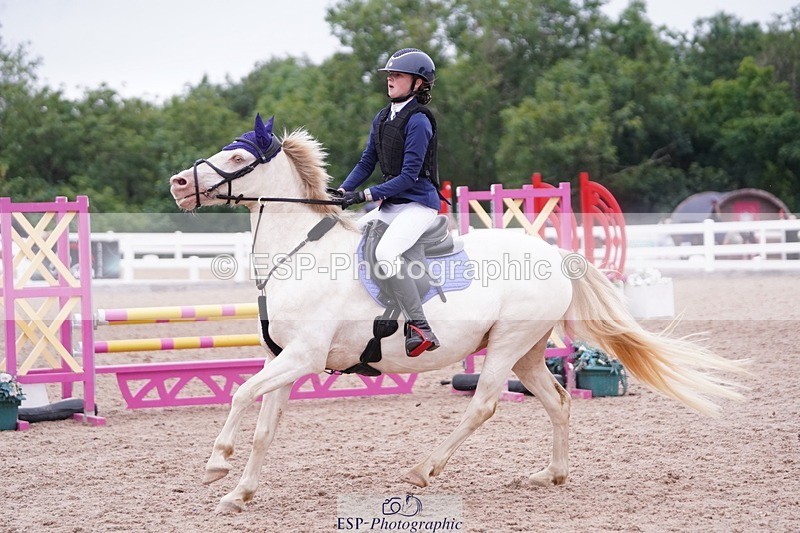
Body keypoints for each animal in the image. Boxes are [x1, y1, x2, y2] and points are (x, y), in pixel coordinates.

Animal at [168, 114, 747, 514]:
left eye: (238, 160)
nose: (177, 184)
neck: (298, 254)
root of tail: (553, 253)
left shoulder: (304, 357)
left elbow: (240, 394)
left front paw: (216, 463)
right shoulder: (285, 360)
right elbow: (263, 425)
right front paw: (238, 494)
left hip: (508, 344)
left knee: (484, 404)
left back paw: (423, 470)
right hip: (528, 351)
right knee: (558, 401)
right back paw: (549, 476)